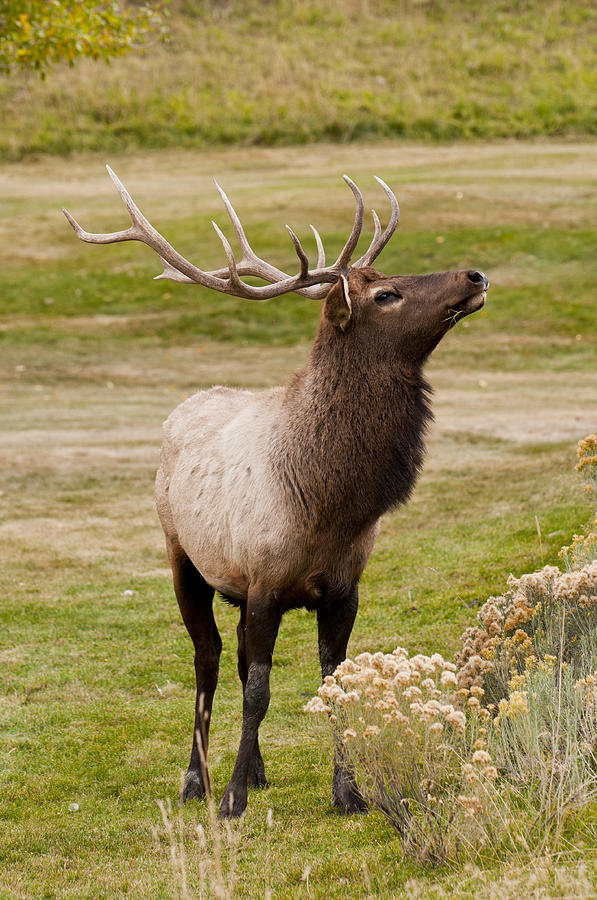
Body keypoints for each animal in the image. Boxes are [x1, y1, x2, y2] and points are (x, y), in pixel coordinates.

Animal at [64, 169, 488, 816]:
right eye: (385, 295)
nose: (475, 275)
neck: (327, 503)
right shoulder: (264, 580)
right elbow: (259, 691)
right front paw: (231, 798)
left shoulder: (342, 588)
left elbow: (332, 684)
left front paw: (349, 792)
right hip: (182, 555)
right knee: (210, 658)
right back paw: (197, 779)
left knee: (236, 658)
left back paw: (257, 770)